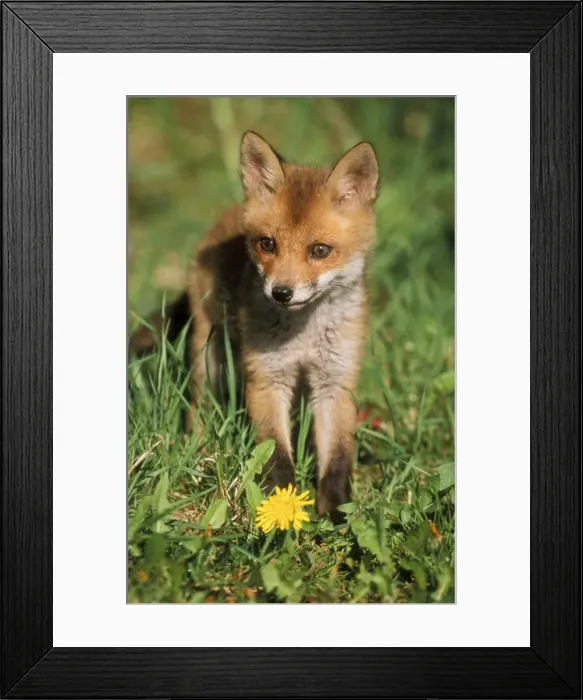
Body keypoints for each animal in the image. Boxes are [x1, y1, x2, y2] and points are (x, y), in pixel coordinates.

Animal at [130, 131, 379, 519]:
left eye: (320, 250)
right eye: (268, 244)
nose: (281, 292)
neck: (303, 335)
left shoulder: (335, 382)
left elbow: (337, 459)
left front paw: (338, 516)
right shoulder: (266, 378)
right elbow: (276, 455)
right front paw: (280, 507)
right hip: (209, 357)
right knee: (198, 410)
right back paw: (200, 454)